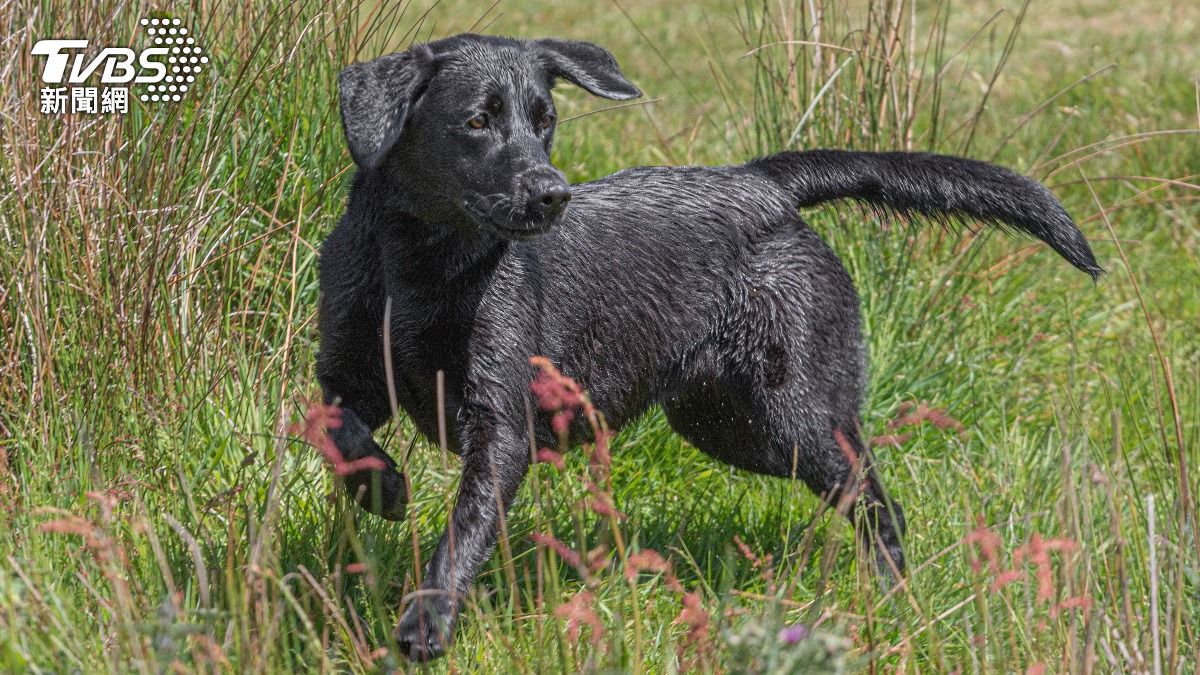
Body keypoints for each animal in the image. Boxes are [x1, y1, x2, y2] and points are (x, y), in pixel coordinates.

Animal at [314, 32, 1099, 658]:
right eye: (477, 121)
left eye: (547, 122)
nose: (551, 194)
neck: (418, 268)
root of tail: (762, 184)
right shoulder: (347, 373)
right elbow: (332, 425)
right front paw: (382, 486)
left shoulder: (501, 424)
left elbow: (464, 529)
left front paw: (426, 621)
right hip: (726, 425)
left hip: (797, 414)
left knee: (877, 501)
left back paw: (890, 600)